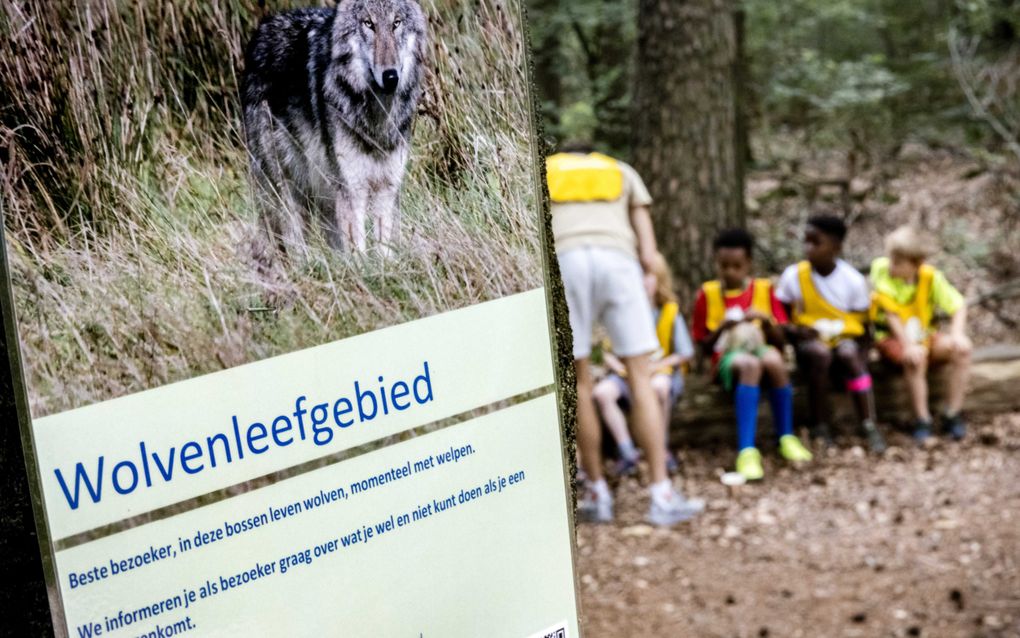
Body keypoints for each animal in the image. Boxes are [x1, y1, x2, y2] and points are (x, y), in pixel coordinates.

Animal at [240, 3, 424, 256]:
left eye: (396, 23)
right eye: (369, 24)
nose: (390, 76)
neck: (376, 122)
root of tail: (262, 28)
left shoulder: (387, 188)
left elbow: (384, 250)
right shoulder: (351, 191)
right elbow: (358, 252)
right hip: (285, 190)